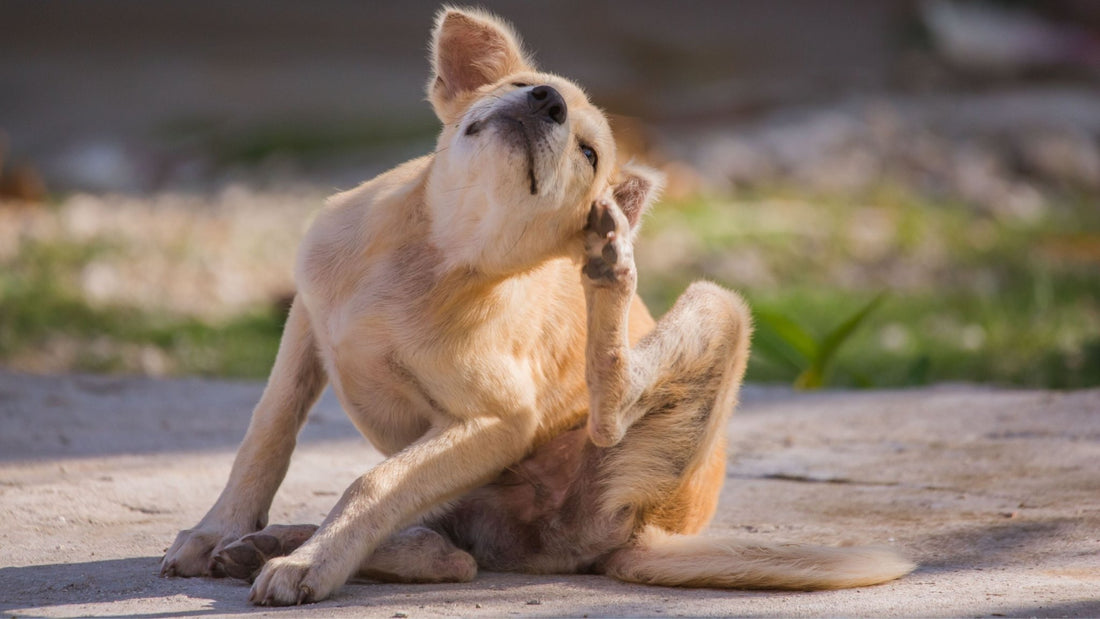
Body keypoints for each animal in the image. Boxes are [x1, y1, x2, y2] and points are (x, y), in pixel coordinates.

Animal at [159, 6, 915, 606]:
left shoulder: (496, 420)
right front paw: (219, 528)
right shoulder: (306, 324)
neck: (434, 253)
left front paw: (311, 565)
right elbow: (268, 432)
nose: (546, 101)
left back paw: (611, 270)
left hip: (713, 315)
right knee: (448, 549)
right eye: (522, 87)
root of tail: (647, 531)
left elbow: (373, 483)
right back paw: (268, 543)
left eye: (588, 153)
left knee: (558, 457)